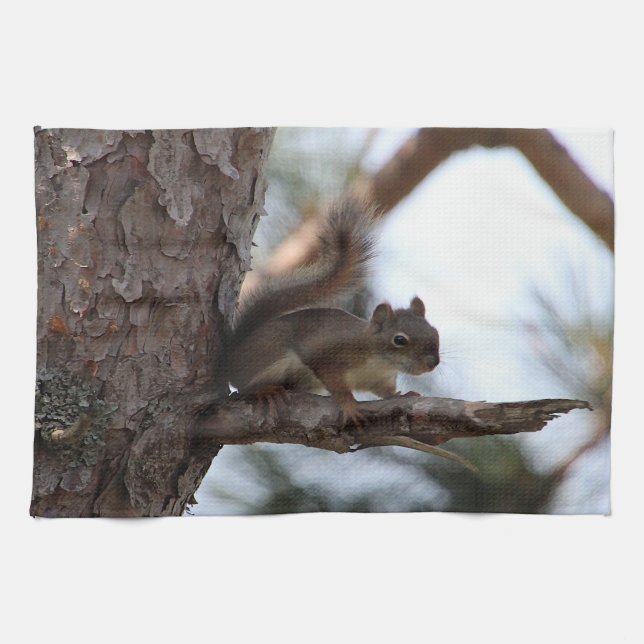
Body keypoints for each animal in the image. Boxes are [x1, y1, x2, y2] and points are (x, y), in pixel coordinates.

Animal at [224, 198, 440, 426]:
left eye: (435, 333)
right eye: (399, 340)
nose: (432, 363)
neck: (378, 360)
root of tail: (231, 358)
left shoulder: (380, 379)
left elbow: (386, 392)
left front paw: (402, 395)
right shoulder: (329, 356)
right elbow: (336, 384)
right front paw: (349, 405)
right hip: (269, 353)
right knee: (244, 385)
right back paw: (264, 391)